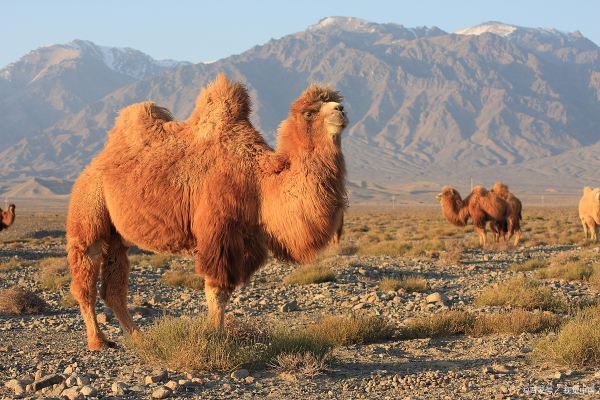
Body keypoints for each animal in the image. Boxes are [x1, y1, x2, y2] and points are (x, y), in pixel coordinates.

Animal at [66, 75, 350, 350]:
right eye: (309, 113)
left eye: (335, 102)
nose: (341, 110)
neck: (260, 179)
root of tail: (94, 164)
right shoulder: (218, 232)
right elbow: (217, 290)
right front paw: (214, 336)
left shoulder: (246, 239)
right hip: (88, 206)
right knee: (86, 276)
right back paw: (98, 341)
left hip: (116, 234)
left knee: (114, 288)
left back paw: (139, 338)